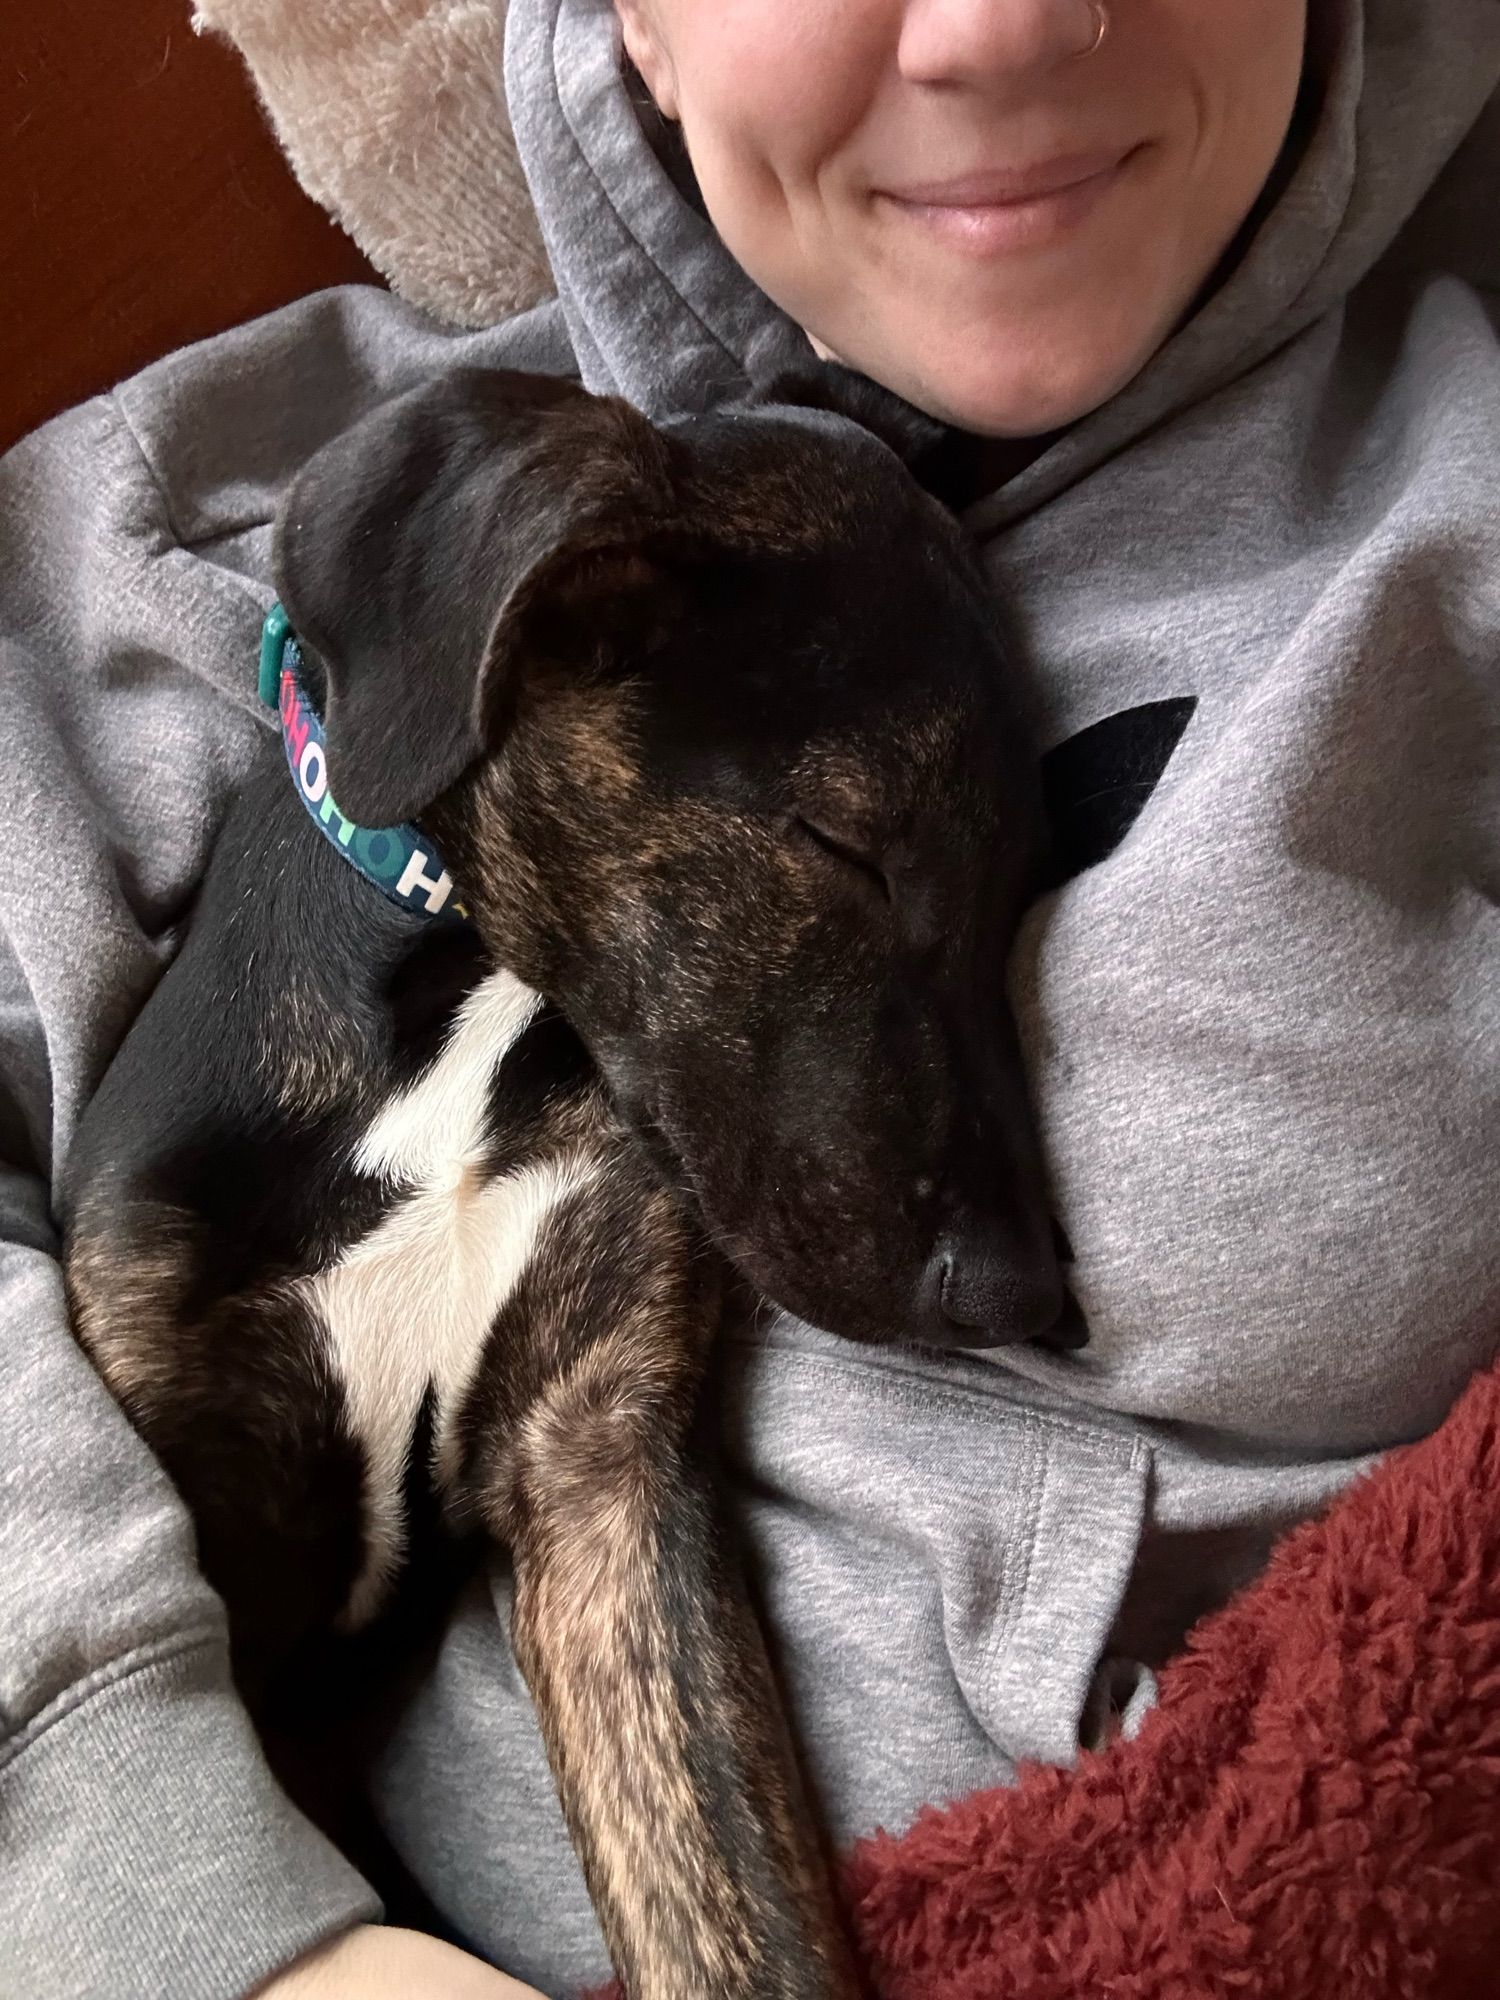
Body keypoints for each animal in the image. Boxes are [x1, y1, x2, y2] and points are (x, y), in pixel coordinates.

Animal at [58, 376, 1072, 2000]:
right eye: (844, 842)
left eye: (1026, 879)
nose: (1018, 1287)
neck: (473, 1008)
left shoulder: (601, 1470)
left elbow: (740, 1925)